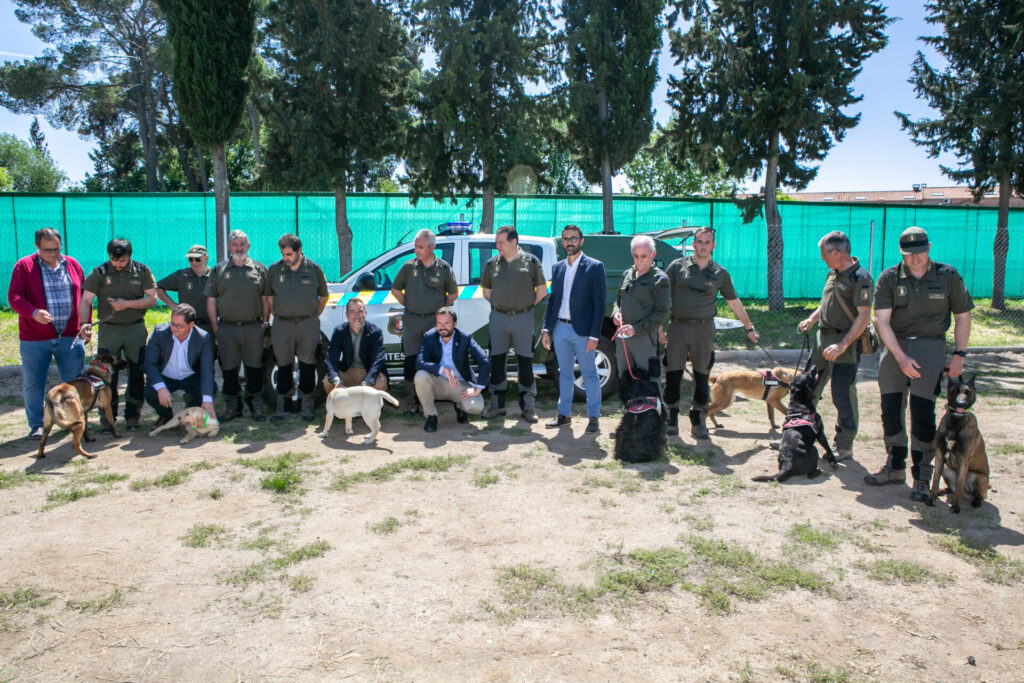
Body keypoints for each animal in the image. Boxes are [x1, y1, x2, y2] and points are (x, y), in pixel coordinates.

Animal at [933, 376, 987, 516]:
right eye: (955, 391)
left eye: (968, 392)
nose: (961, 403)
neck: (955, 421)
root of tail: (968, 494)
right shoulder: (939, 455)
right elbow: (935, 480)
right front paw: (931, 498)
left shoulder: (963, 460)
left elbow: (959, 486)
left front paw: (955, 506)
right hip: (946, 470)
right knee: (951, 488)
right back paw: (942, 491)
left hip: (978, 477)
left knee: (979, 495)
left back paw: (976, 501)